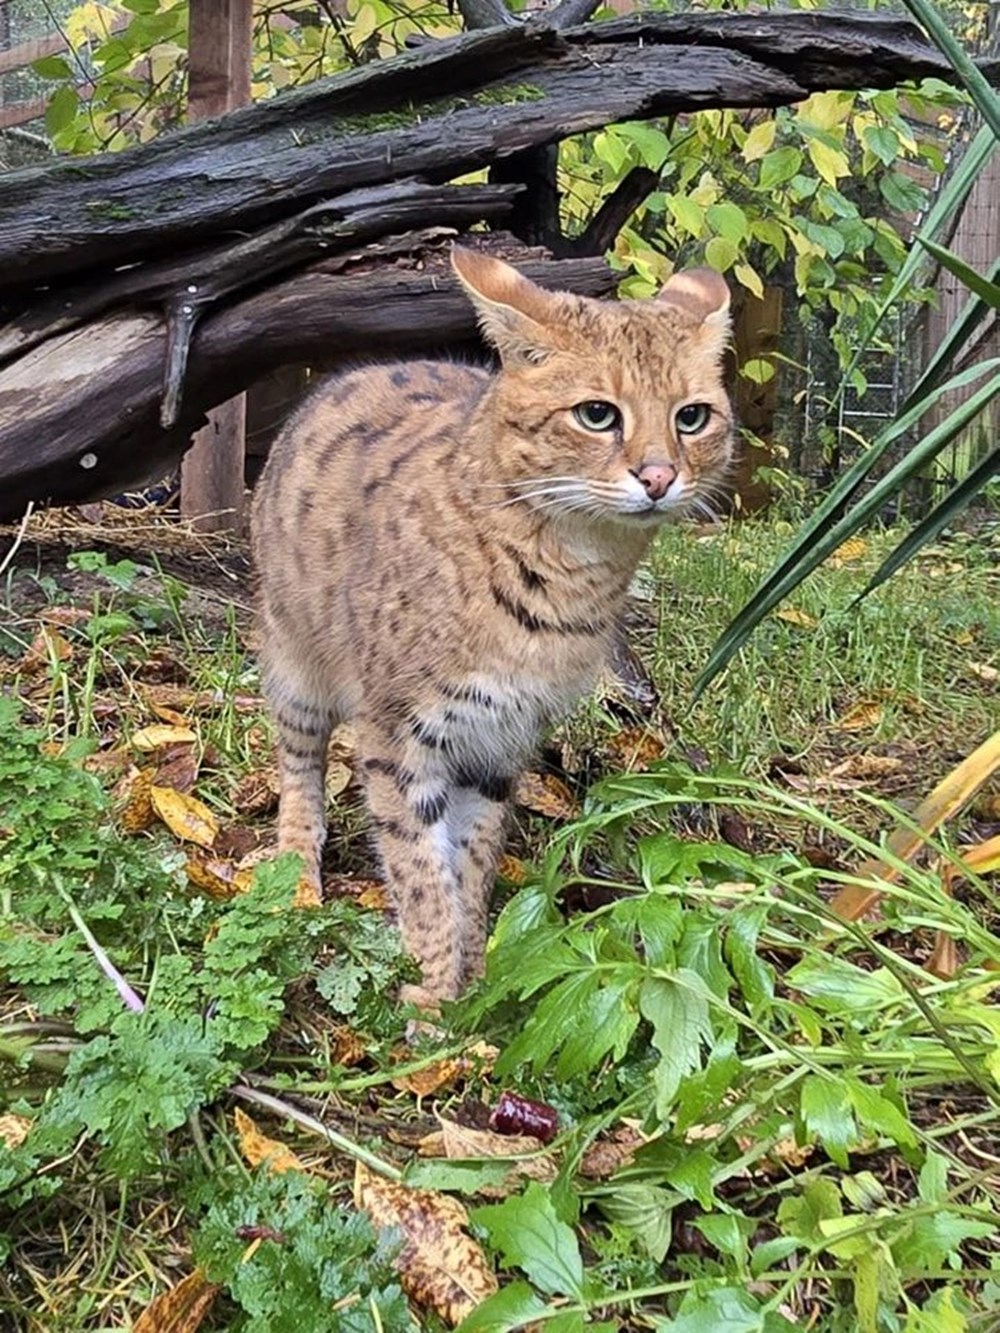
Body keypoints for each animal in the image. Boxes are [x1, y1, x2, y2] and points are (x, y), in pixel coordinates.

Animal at [250, 247, 736, 1007]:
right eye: (596, 414)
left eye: (691, 417)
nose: (660, 477)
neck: (569, 580)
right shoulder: (398, 736)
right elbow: (422, 877)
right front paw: (432, 1001)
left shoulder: (502, 740)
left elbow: (470, 864)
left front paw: (473, 977)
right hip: (293, 656)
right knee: (299, 764)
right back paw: (296, 868)